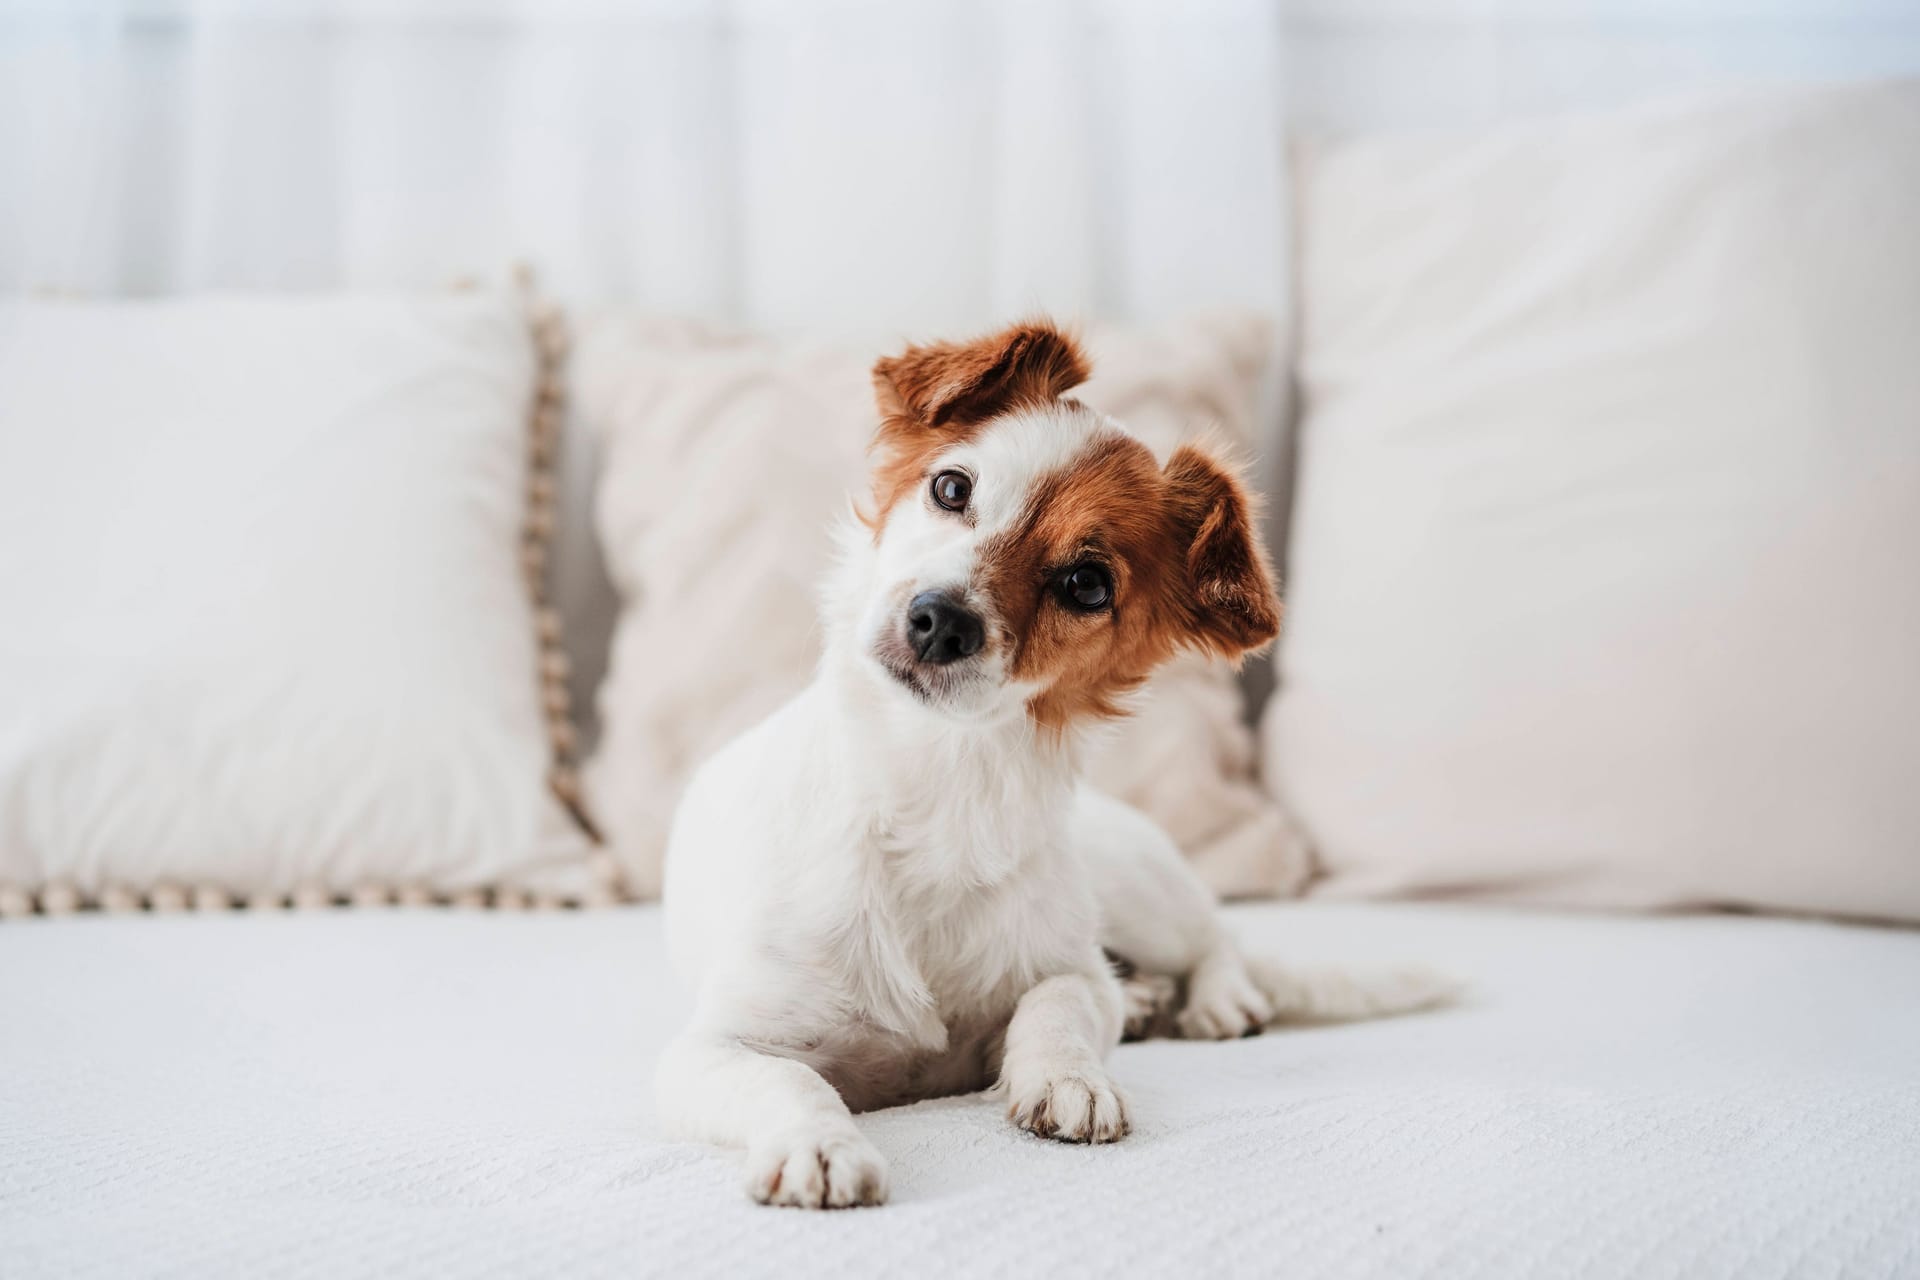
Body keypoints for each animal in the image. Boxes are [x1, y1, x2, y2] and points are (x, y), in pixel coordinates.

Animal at [652, 322, 1443, 1212]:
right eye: (951, 487)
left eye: (1087, 584)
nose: (939, 622)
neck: (940, 790)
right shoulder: (711, 1048)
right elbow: (790, 1081)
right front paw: (818, 1144)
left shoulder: (1072, 969)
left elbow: (1055, 1001)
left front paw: (1069, 1078)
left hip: (1140, 891)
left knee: (1218, 936)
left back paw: (1215, 999)